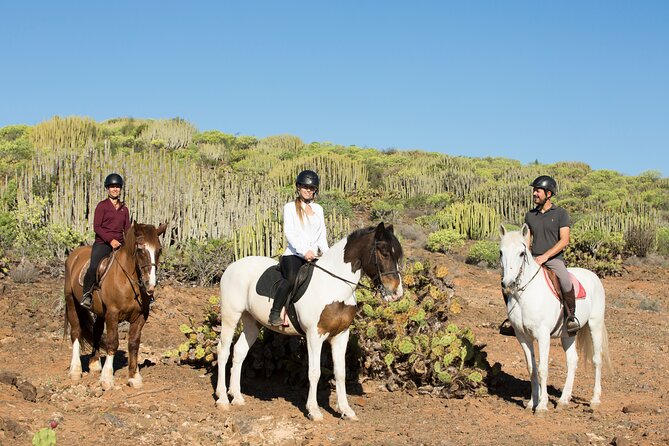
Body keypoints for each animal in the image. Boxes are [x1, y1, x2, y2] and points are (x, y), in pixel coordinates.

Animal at [63, 223, 166, 390]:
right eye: (140, 249)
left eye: (159, 250)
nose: (150, 285)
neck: (127, 281)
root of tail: (74, 255)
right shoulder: (112, 314)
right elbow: (113, 342)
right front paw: (107, 378)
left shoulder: (140, 317)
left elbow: (134, 344)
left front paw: (134, 377)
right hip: (71, 302)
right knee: (76, 332)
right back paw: (75, 371)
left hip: (99, 311)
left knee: (97, 331)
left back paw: (94, 364)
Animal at [215, 223, 402, 422]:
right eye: (384, 253)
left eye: (398, 255)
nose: (397, 293)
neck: (334, 286)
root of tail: (233, 266)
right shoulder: (315, 335)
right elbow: (314, 372)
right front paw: (314, 410)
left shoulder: (341, 336)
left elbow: (340, 373)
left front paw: (346, 410)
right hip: (231, 316)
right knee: (224, 351)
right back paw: (223, 399)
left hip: (252, 322)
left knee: (239, 352)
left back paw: (237, 397)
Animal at [496, 225, 612, 412]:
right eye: (501, 252)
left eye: (521, 253)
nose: (508, 284)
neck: (525, 295)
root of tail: (593, 275)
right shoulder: (523, 337)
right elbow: (532, 369)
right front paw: (532, 402)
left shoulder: (543, 336)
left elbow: (543, 369)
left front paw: (542, 406)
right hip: (568, 334)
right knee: (572, 361)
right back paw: (564, 400)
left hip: (595, 325)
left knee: (597, 360)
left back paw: (594, 400)